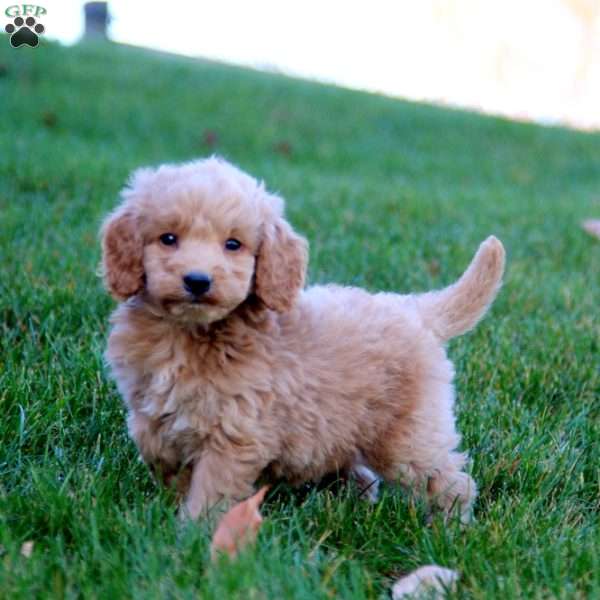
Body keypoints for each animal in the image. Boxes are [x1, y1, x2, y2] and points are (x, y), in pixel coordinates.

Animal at [101, 157, 504, 524]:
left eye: (233, 244)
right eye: (168, 238)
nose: (197, 280)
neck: (190, 333)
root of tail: (415, 309)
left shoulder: (236, 435)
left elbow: (212, 487)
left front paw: (192, 534)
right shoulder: (149, 411)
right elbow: (157, 450)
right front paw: (169, 505)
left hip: (407, 437)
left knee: (449, 480)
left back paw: (451, 527)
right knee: (364, 473)